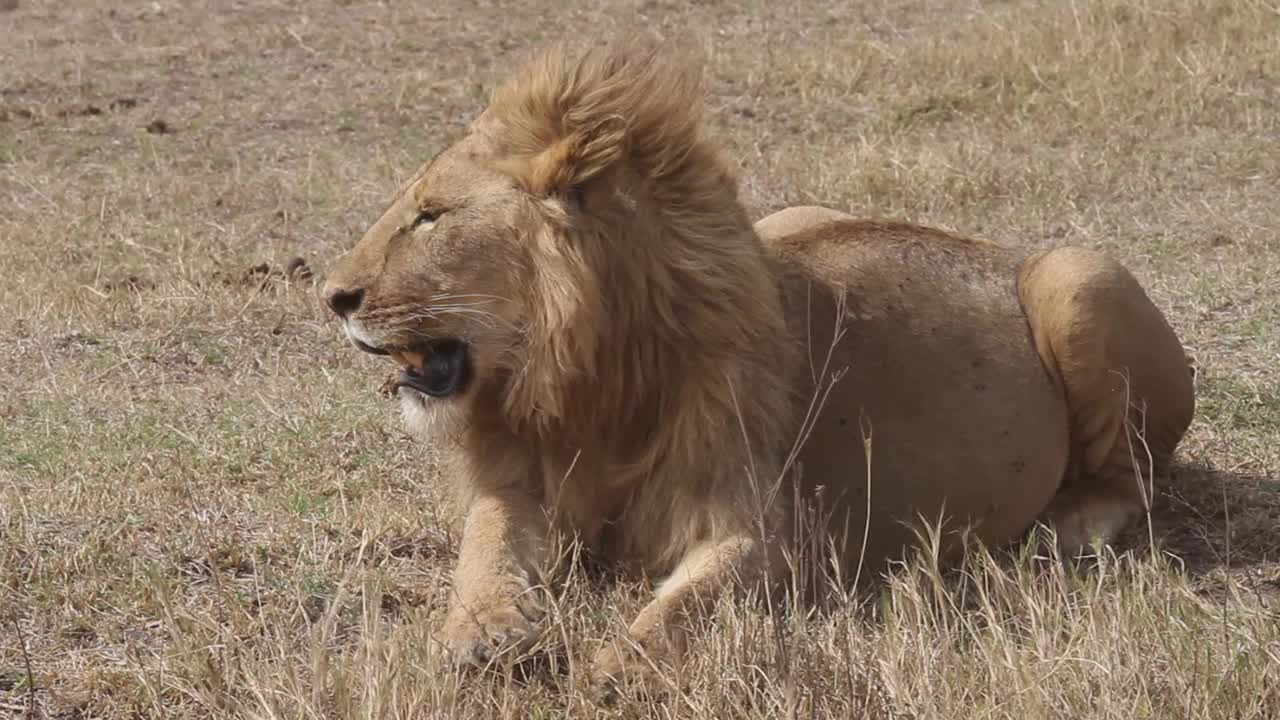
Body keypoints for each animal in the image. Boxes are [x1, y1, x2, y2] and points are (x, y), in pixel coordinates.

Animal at [317, 36, 1187, 686]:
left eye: (431, 216)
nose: (331, 296)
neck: (587, 386)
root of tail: (999, 248)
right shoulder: (522, 483)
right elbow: (485, 545)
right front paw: (484, 630)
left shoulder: (776, 531)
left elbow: (685, 605)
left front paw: (619, 667)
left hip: (1078, 275)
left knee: (1136, 473)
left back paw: (1068, 528)